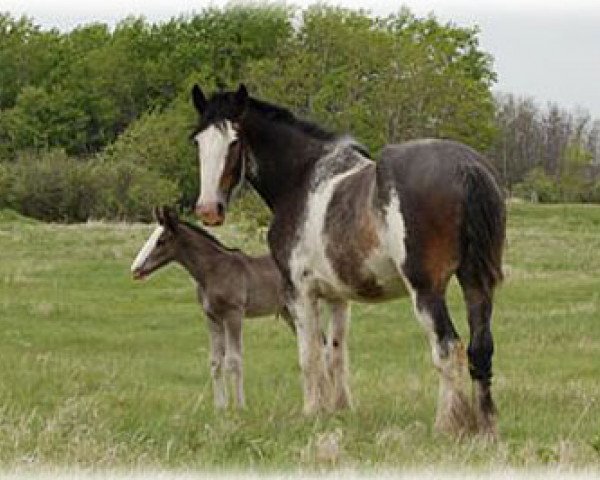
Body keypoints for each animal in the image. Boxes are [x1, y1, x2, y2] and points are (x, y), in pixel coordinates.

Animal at [130, 206, 294, 408]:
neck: (213, 271)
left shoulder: (233, 314)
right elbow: (216, 362)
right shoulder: (212, 316)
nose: (135, 269)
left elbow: (233, 360)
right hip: (289, 313)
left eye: (161, 241)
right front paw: (220, 407)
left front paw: (240, 406)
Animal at [190, 84, 504, 436]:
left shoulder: (299, 292)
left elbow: (310, 355)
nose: (208, 210)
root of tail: (466, 167)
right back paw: (485, 426)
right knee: (480, 347)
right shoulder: (338, 297)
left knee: (448, 349)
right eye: (198, 140)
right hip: (476, 283)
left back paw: (447, 424)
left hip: (427, 291)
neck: (301, 179)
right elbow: (335, 353)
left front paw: (312, 412)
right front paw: (340, 410)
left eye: (234, 140)